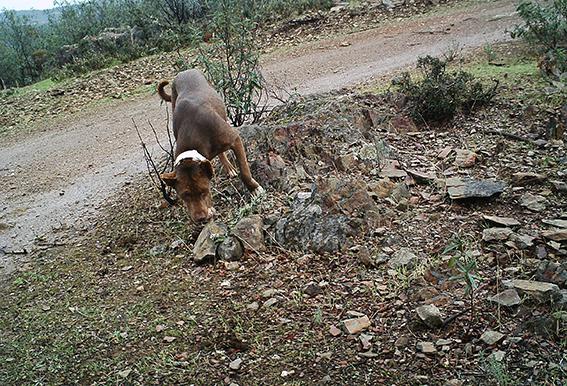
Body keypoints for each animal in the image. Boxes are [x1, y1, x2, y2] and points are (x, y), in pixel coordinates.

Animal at [158, 68, 264, 223]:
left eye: (204, 191)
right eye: (184, 195)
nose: (201, 218)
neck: (193, 131)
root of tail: (185, 71)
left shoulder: (235, 139)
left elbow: (244, 171)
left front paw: (255, 189)